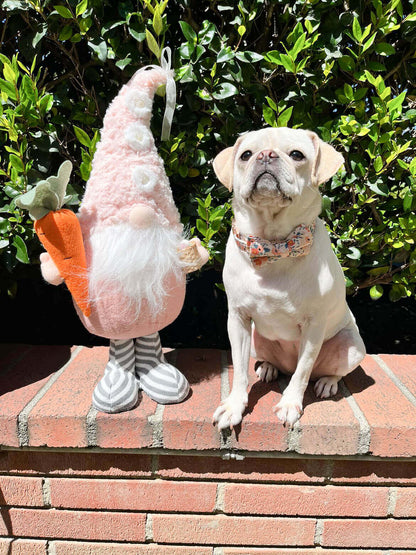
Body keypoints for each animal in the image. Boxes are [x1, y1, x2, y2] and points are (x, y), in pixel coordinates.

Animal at [213, 127, 366, 430]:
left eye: (297, 155)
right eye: (245, 155)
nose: (266, 155)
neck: (273, 244)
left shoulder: (314, 325)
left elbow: (303, 370)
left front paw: (289, 404)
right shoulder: (238, 319)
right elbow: (239, 369)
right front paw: (234, 406)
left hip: (351, 346)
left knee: (322, 371)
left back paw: (327, 383)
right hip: (256, 340)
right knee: (269, 362)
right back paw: (269, 368)